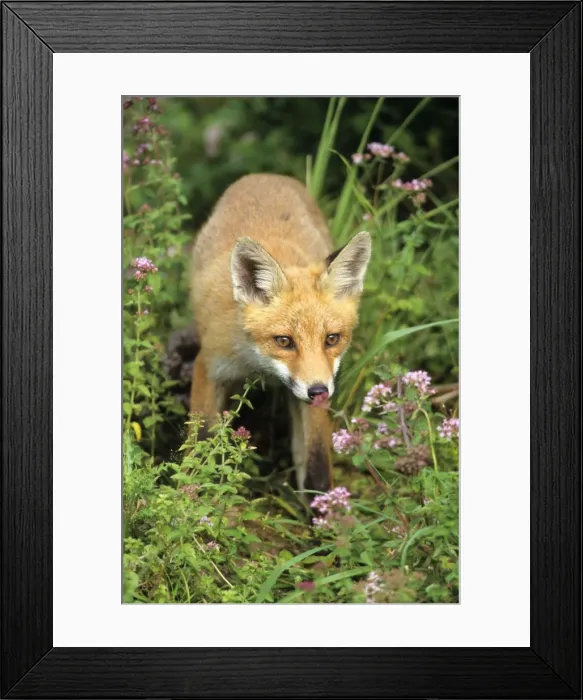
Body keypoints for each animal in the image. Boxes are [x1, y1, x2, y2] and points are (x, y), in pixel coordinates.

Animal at [189, 173, 371, 494]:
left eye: (332, 339)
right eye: (284, 341)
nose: (318, 391)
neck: (256, 364)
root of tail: (264, 176)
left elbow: (316, 464)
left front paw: (324, 506)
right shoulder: (208, 367)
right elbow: (200, 446)